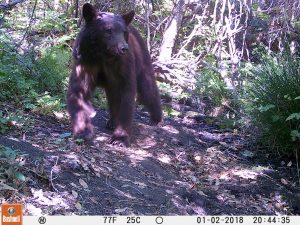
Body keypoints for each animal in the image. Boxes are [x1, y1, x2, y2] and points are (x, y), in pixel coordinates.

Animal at [67, 3, 163, 148]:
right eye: (108, 30)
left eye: (124, 32)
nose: (123, 48)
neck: (103, 56)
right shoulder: (85, 61)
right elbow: (78, 92)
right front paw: (83, 132)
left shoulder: (123, 66)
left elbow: (127, 95)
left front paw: (120, 138)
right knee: (113, 96)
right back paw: (112, 121)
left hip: (143, 61)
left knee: (148, 90)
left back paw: (156, 119)